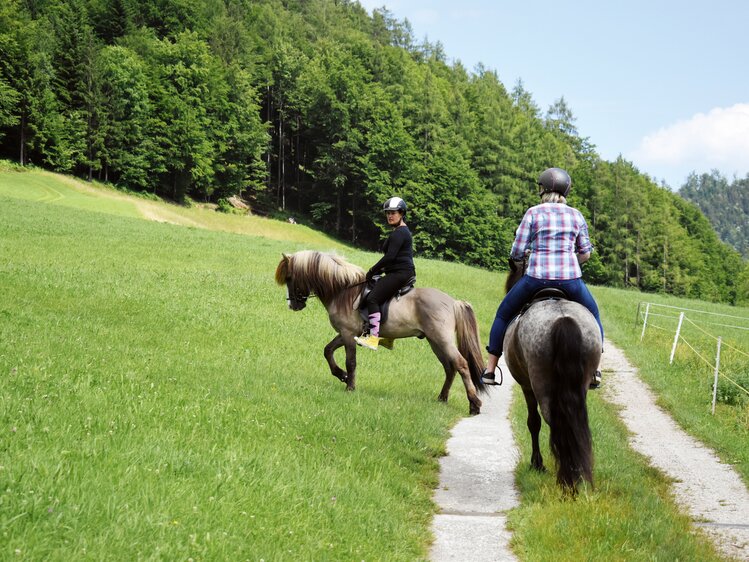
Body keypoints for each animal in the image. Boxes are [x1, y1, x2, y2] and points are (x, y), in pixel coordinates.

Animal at [274, 249, 486, 412]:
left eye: (290, 278)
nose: (293, 305)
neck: (343, 291)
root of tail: (453, 302)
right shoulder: (347, 334)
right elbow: (327, 351)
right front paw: (341, 375)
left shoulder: (348, 334)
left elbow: (351, 361)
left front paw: (350, 386)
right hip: (434, 342)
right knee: (450, 368)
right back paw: (442, 398)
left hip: (442, 340)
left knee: (461, 364)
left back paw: (474, 403)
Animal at [502, 260, 600, 488]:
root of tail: (563, 318)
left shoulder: (526, 385)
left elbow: (533, 422)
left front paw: (536, 463)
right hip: (580, 383)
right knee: (576, 424)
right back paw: (576, 473)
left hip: (541, 384)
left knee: (555, 422)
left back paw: (566, 479)